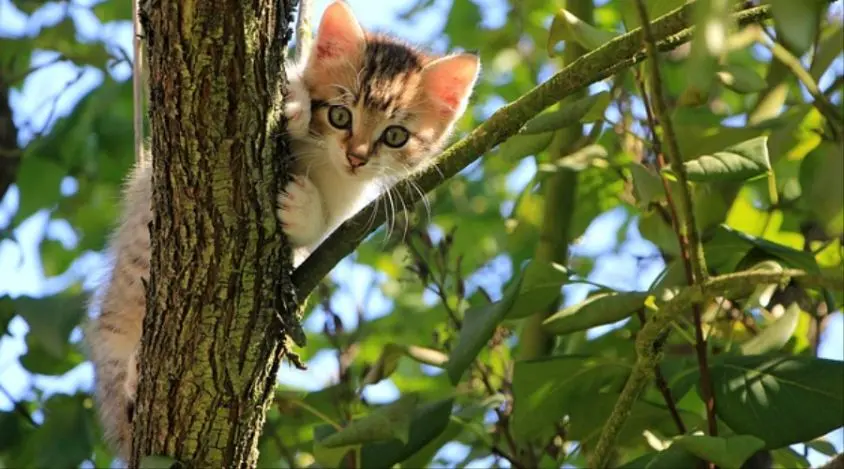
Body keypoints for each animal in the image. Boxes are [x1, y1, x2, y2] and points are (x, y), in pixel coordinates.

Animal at [86, 0, 482, 460]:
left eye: (395, 136)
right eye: (340, 114)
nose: (357, 157)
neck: (324, 162)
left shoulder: (348, 204)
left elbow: (322, 228)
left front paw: (303, 208)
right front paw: (294, 104)